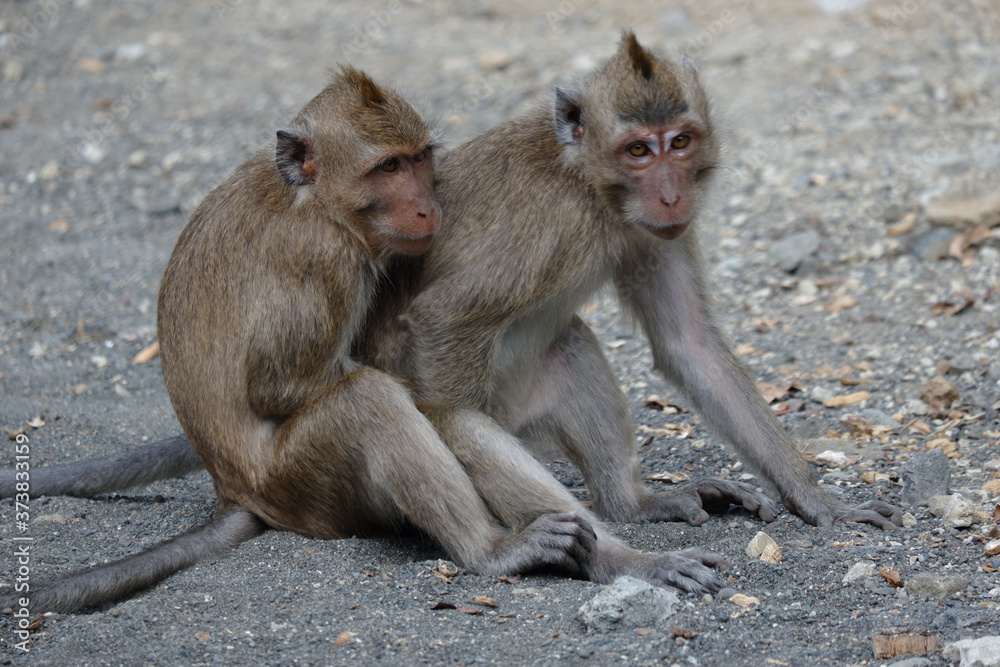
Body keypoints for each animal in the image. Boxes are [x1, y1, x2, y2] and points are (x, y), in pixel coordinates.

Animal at [1, 65, 736, 612]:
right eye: (387, 168)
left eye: (418, 160)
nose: (428, 204)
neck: (311, 199)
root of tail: (234, 490)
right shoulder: (326, 259)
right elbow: (281, 387)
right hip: (306, 486)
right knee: (369, 400)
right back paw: (496, 549)